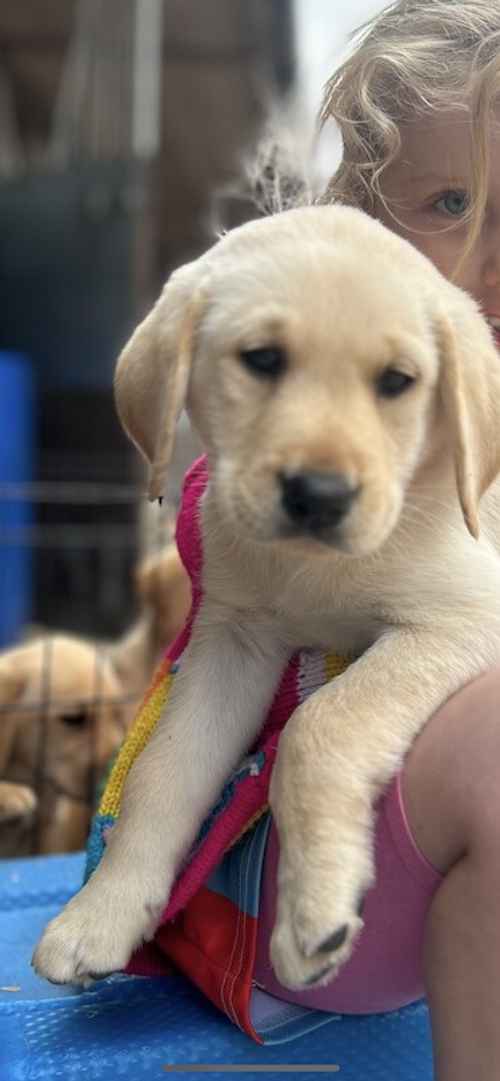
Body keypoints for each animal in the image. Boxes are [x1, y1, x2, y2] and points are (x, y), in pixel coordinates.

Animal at [34, 206, 500, 990]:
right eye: (262, 359)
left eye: (398, 381)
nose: (321, 495)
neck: (312, 569)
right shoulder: (234, 642)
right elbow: (162, 770)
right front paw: (101, 913)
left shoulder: (468, 613)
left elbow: (322, 721)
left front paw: (315, 908)